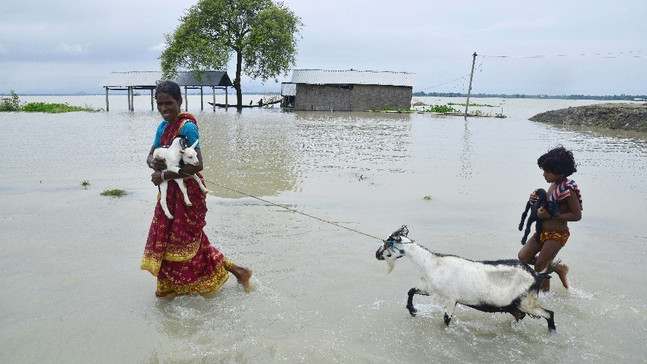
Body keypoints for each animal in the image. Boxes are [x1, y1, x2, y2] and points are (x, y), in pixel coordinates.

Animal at [374, 226, 556, 332]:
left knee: (549, 313)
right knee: (521, 315)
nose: (376, 254)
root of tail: (537, 276)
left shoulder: (451, 299)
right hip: (515, 304)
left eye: (388, 243)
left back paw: (552, 332)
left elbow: (446, 320)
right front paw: (412, 310)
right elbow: (411, 290)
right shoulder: (431, 289)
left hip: (528, 301)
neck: (432, 264)